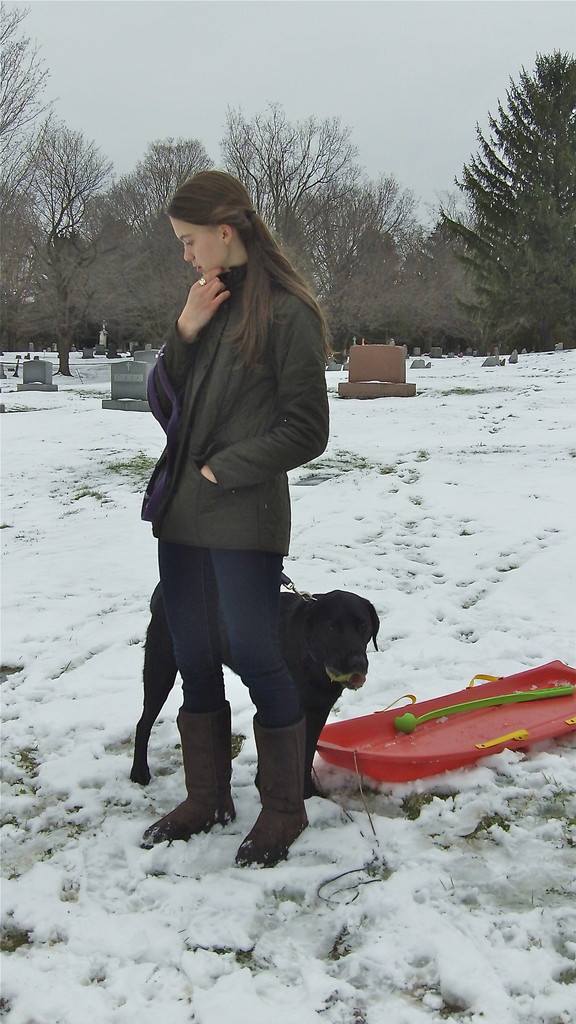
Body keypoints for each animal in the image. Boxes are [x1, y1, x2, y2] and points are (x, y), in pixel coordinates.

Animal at [132, 581, 379, 794]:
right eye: (331, 627)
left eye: (363, 625)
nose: (357, 662)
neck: (311, 658)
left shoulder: (319, 709)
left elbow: (307, 749)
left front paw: (307, 792)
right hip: (161, 667)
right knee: (143, 723)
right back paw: (139, 772)